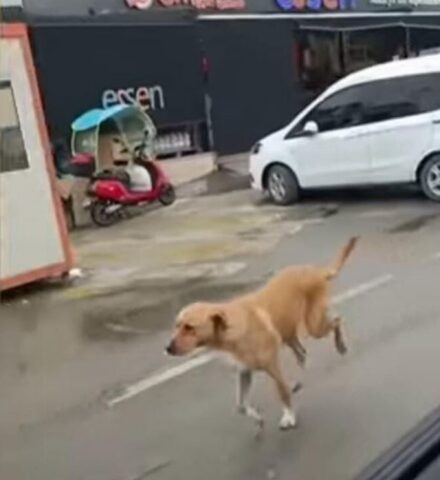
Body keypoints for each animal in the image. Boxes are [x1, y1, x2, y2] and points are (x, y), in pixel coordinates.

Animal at [165, 238, 358, 430]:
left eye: (189, 327)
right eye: (177, 325)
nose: (168, 348)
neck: (231, 329)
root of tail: (314, 270)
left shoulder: (271, 366)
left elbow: (282, 392)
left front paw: (289, 416)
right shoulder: (244, 371)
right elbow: (240, 405)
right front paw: (257, 417)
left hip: (314, 325)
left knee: (337, 320)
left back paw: (340, 345)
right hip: (287, 331)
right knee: (302, 353)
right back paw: (297, 380)